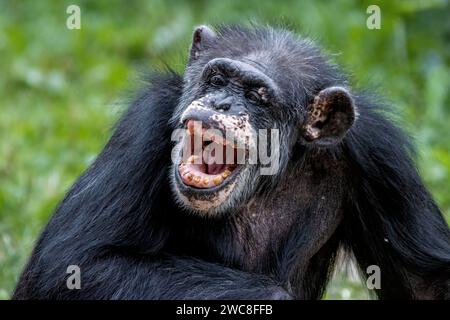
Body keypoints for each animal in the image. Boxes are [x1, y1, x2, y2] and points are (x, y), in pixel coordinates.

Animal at [14, 25, 450, 300]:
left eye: (257, 96)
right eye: (218, 79)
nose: (222, 103)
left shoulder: (380, 154)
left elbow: (425, 282)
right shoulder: (145, 122)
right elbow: (74, 264)